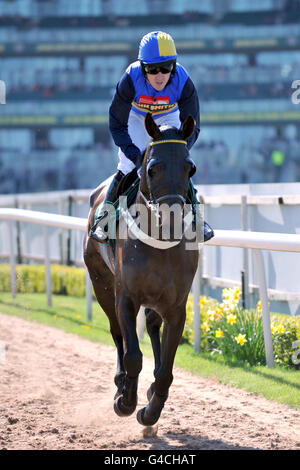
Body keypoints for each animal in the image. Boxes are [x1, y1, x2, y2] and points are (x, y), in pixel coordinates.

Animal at [83, 113, 199, 426]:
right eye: (153, 168)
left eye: (190, 168)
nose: (173, 220)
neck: (160, 243)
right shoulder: (125, 296)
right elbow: (133, 354)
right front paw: (126, 400)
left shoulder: (176, 306)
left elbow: (166, 371)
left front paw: (150, 410)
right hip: (101, 283)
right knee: (117, 334)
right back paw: (121, 382)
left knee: (151, 325)